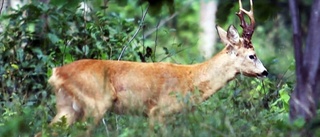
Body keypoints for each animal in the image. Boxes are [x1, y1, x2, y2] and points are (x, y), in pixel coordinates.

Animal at [35, 0, 268, 136]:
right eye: (252, 55)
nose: (265, 72)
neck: (190, 80)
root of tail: (57, 73)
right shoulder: (158, 111)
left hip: (67, 106)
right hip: (95, 103)